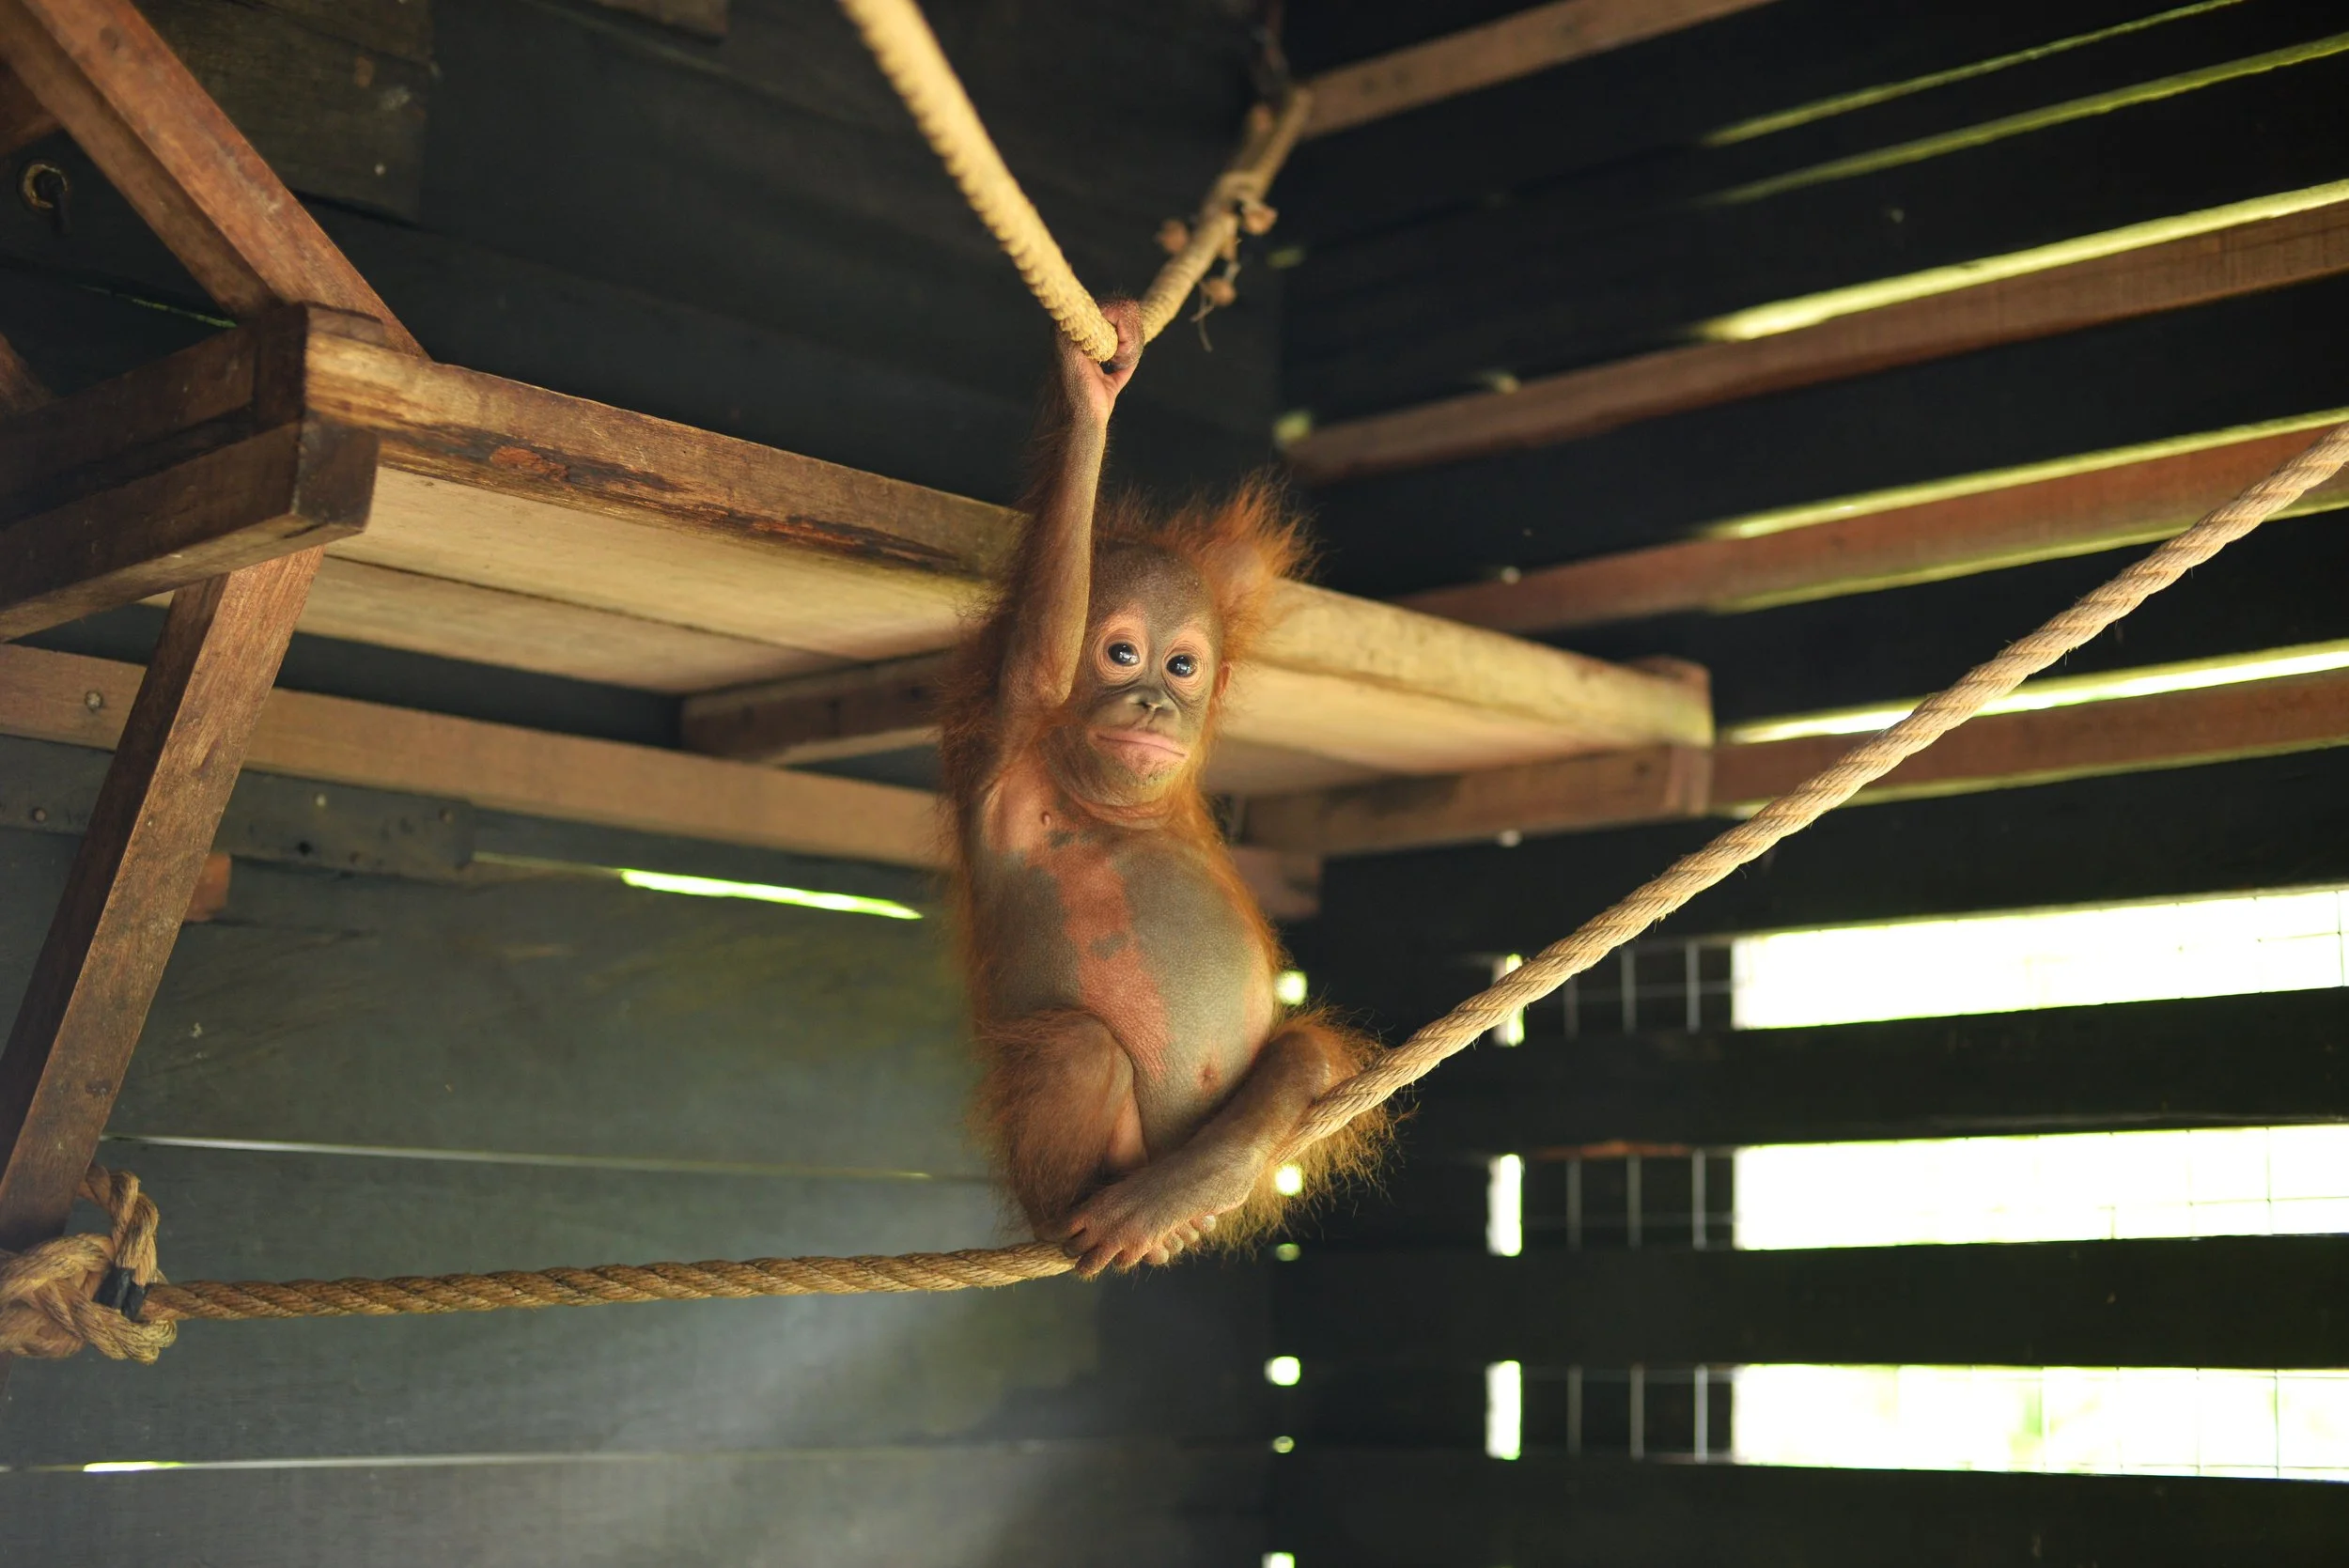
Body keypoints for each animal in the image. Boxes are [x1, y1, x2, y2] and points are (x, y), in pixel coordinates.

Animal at [938, 300, 1389, 1277]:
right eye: (1119, 653)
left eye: (1182, 666)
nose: (1154, 701)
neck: (1106, 797)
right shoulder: (1009, 726)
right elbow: (1042, 647)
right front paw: (1090, 399)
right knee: (1076, 1044)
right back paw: (1085, 1209)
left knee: (1303, 1047)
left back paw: (1191, 1188)